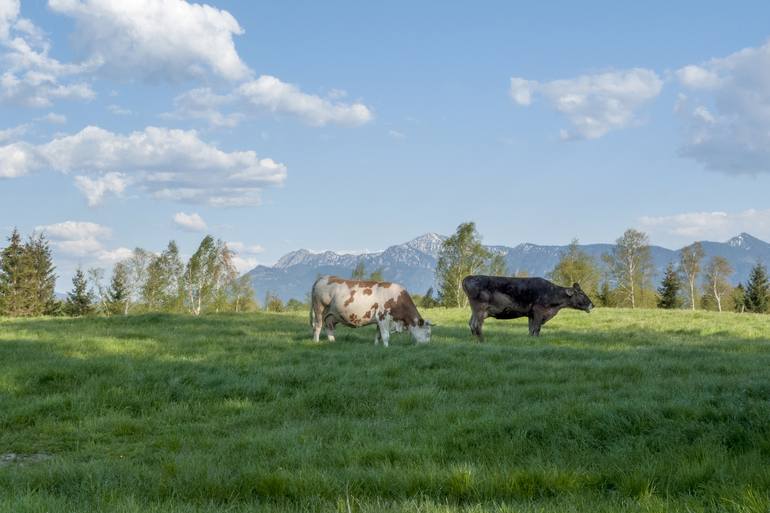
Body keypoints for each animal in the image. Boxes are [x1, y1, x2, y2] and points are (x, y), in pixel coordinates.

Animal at [460, 274, 592, 338]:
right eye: (581, 293)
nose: (592, 304)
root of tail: (468, 277)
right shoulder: (539, 311)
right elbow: (537, 329)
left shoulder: (531, 314)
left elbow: (531, 329)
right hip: (480, 308)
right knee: (476, 324)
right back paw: (482, 341)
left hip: (475, 310)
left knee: (471, 323)